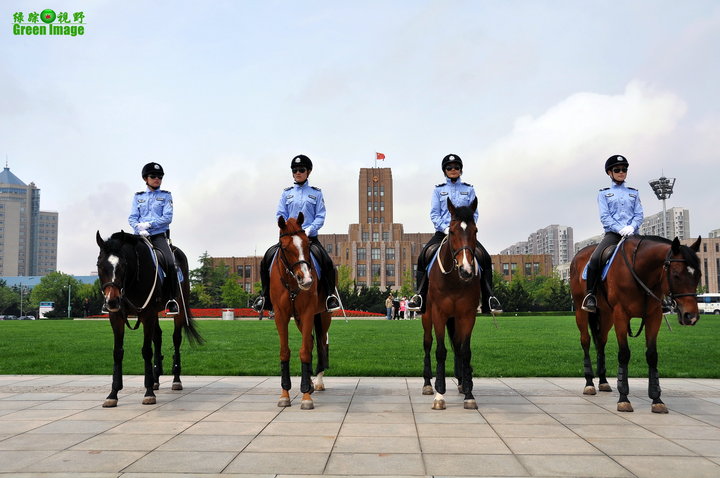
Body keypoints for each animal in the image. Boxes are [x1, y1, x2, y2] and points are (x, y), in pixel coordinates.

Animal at [95, 232, 202, 408]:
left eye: (123, 265)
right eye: (100, 266)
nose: (112, 301)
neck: (132, 280)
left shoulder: (147, 313)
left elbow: (146, 350)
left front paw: (149, 392)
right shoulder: (116, 317)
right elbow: (117, 352)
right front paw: (113, 394)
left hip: (178, 307)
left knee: (176, 339)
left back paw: (176, 380)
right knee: (157, 337)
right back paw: (156, 378)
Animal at [270, 215, 332, 408]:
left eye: (306, 244)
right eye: (284, 247)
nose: (306, 279)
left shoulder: (307, 312)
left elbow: (304, 351)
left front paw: (306, 397)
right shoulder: (281, 315)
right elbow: (285, 351)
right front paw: (285, 395)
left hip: (323, 316)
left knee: (321, 344)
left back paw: (318, 382)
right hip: (298, 319)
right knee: (312, 341)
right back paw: (311, 383)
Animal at [422, 198, 484, 410]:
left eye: (475, 230)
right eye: (452, 231)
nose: (467, 270)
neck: (455, 280)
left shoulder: (468, 314)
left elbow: (465, 352)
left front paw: (469, 394)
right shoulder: (438, 312)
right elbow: (440, 351)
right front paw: (439, 394)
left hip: (456, 318)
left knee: (457, 346)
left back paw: (463, 383)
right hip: (427, 315)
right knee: (427, 343)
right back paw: (427, 384)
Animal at [572, 233, 700, 412]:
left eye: (699, 275)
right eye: (676, 274)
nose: (691, 316)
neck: (640, 271)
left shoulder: (654, 316)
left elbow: (652, 355)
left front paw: (657, 399)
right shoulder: (621, 315)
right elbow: (624, 354)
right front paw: (623, 398)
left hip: (606, 314)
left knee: (601, 342)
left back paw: (603, 381)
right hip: (581, 310)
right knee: (586, 341)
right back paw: (589, 382)